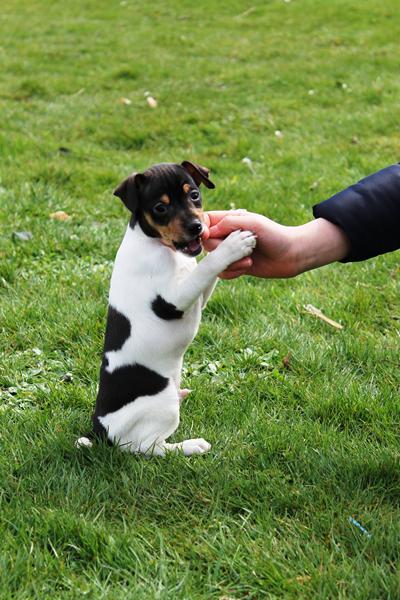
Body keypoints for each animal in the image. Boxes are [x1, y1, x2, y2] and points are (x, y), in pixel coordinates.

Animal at [76, 162, 255, 458]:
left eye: (194, 195)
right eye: (160, 208)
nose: (196, 227)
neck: (159, 245)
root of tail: (101, 431)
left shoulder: (197, 295)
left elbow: (205, 269)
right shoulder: (174, 297)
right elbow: (207, 267)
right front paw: (234, 245)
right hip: (161, 404)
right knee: (151, 447)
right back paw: (191, 445)